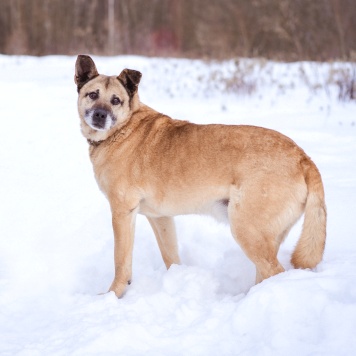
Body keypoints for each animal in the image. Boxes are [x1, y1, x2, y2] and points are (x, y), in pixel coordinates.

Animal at [74, 54, 326, 296]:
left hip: (246, 229)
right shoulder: (160, 218)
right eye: (93, 94)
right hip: (264, 235)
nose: (100, 115)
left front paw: (113, 295)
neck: (122, 130)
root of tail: (303, 157)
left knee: (275, 271)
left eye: (116, 100)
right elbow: (170, 257)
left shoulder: (122, 212)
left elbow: (121, 261)